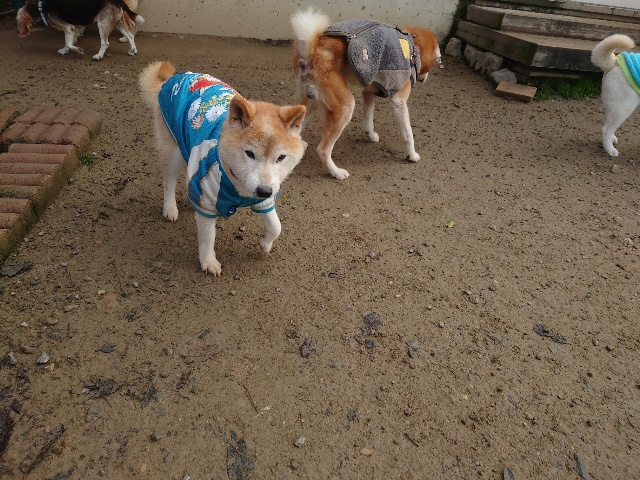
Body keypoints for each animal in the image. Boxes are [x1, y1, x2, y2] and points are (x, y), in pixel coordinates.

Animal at [139, 61, 307, 276]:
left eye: (281, 158)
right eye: (250, 154)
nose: (264, 190)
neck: (238, 186)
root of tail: (174, 78)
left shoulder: (265, 198)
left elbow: (276, 226)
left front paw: (265, 243)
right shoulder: (207, 196)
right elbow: (208, 236)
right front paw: (208, 261)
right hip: (173, 150)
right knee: (168, 181)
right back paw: (170, 208)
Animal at [290, 7, 441, 179]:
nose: (425, 78)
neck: (412, 48)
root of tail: (311, 50)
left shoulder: (369, 92)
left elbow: (368, 120)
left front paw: (370, 135)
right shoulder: (398, 102)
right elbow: (408, 134)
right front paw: (412, 155)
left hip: (311, 101)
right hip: (345, 106)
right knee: (322, 149)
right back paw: (336, 172)